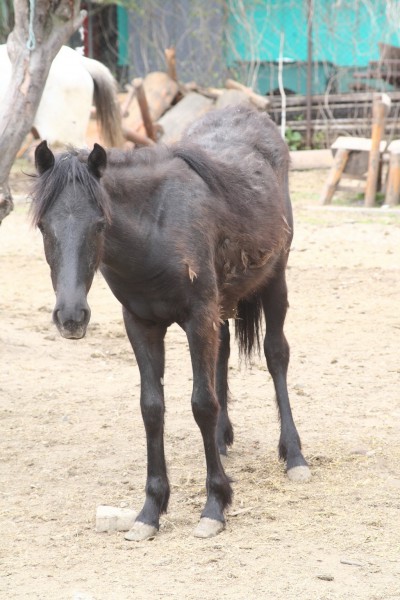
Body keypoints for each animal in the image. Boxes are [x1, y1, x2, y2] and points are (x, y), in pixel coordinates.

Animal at [32, 105, 312, 540]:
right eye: (44, 226)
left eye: (99, 224)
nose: (71, 317)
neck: (155, 230)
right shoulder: (142, 324)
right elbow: (152, 407)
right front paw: (150, 510)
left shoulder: (197, 317)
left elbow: (201, 403)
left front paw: (214, 505)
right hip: (221, 305)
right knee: (223, 356)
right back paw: (222, 439)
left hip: (274, 281)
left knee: (276, 355)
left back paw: (294, 456)